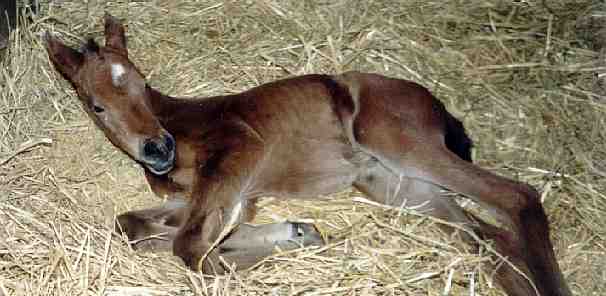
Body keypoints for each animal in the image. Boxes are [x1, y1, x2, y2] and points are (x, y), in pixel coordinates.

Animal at [45, 12, 572, 294]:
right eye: (97, 105)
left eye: (141, 84)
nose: (157, 147)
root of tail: (437, 105)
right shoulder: (221, 194)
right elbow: (134, 226)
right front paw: (296, 232)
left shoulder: (237, 157)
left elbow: (190, 246)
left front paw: (261, 251)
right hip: (399, 185)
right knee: (489, 238)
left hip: (396, 142)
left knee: (518, 196)